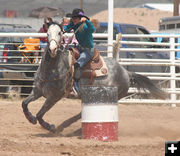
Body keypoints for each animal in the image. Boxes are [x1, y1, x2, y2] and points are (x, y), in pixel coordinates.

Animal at [21, 22, 167, 132]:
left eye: (60, 33)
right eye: (47, 33)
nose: (52, 49)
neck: (52, 69)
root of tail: (126, 72)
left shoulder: (54, 97)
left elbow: (40, 114)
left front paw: (49, 126)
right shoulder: (37, 91)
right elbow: (24, 104)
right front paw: (30, 118)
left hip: (112, 95)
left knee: (81, 114)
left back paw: (64, 125)